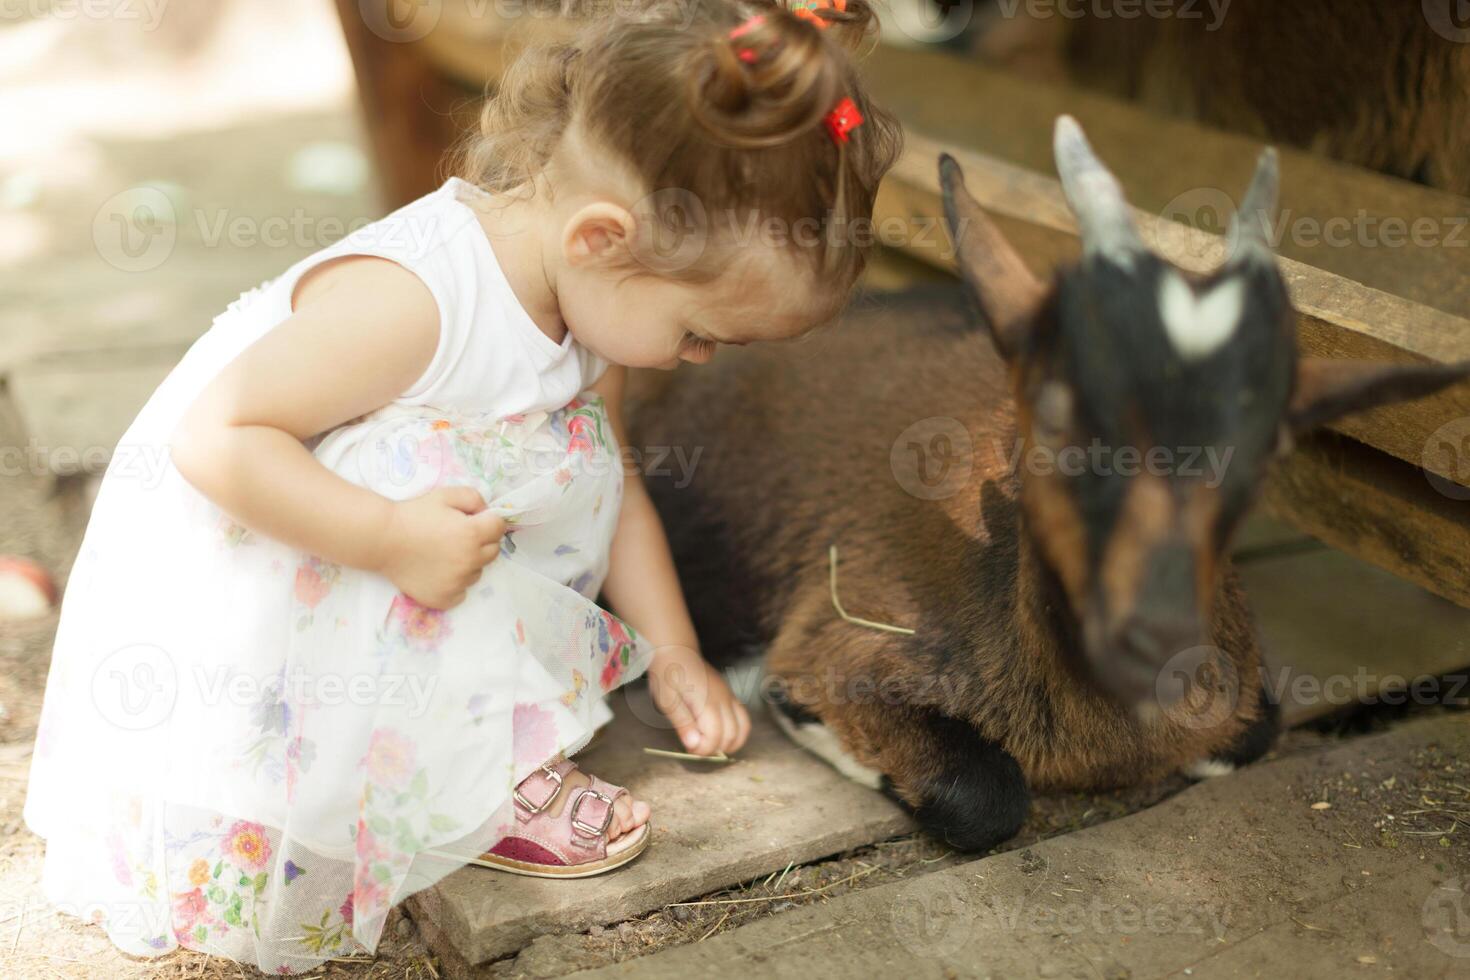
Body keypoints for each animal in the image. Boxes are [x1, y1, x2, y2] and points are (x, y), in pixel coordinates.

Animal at [626, 116, 1464, 852]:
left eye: (1265, 446)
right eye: (1059, 411)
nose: (1157, 633)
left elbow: (1250, 733)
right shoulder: (847, 633)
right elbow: (983, 796)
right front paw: (793, 709)